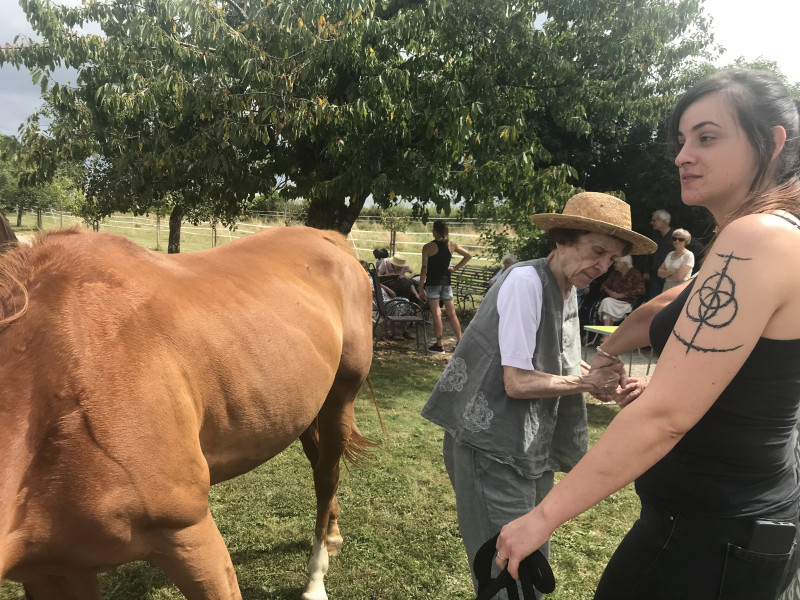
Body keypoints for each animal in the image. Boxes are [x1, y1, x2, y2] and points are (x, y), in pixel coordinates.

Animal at [0, 226, 376, 600]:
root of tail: (328, 237)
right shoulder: (55, 571)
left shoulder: (191, 537)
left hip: (340, 399)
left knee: (326, 477)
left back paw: (315, 579)